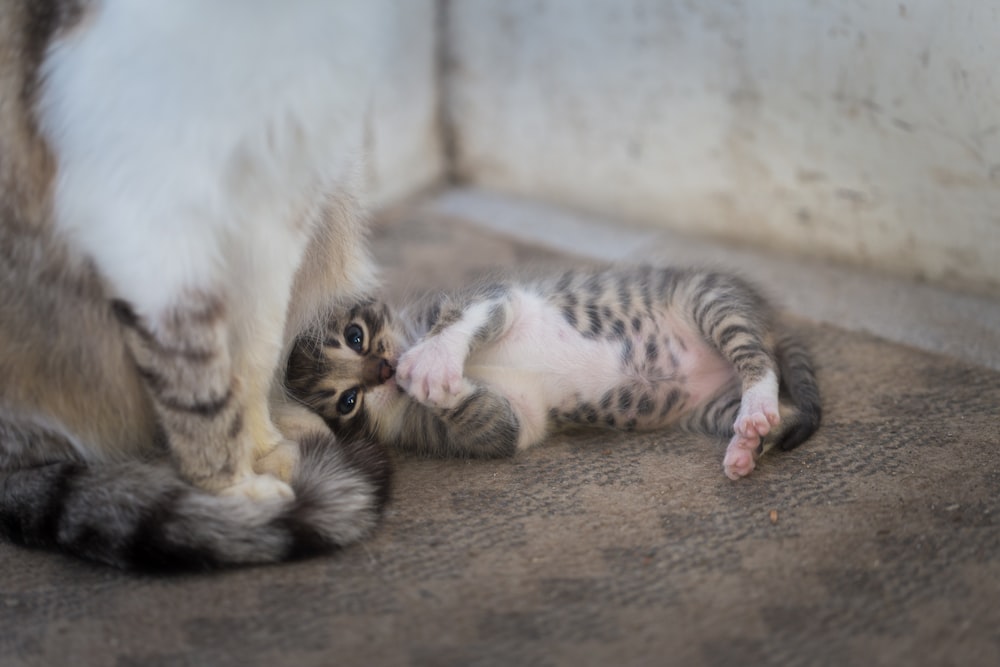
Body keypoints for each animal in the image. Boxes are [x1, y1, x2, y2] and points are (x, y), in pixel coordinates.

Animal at [0, 2, 390, 572]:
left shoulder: (277, 206)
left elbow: (255, 353)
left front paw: (259, 449)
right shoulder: (149, 225)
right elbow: (199, 388)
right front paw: (231, 494)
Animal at [284, 264, 820, 478]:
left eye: (355, 336)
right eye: (348, 401)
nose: (384, 370)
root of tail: (769, 318)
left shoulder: (494, 296)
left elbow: (469, 315)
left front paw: (433, 358)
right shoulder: (505, 425)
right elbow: (491, 423)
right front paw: (432, 383)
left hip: (709, 300)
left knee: (757, 361)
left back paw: (756, 402)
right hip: (710, 408)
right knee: (787, 414)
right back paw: (748, 440)